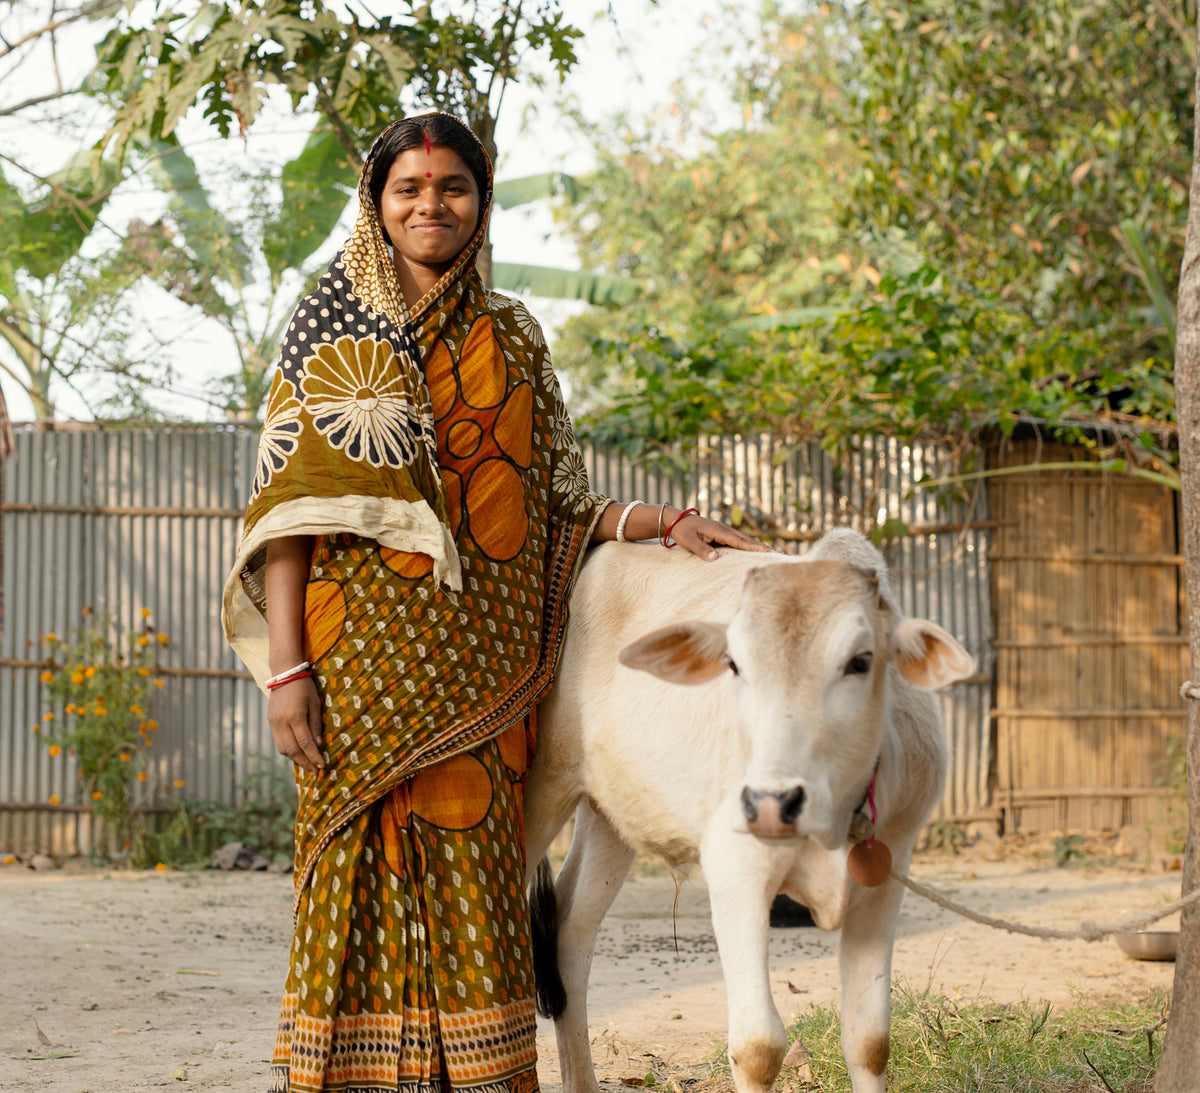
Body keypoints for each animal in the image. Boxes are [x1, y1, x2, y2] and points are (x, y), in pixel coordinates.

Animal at [523, 528, 975, 1093]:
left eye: (860, 660)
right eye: (735, 664)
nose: (771, 802)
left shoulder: (887, 870)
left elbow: (868, 1038)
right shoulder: (736, 867)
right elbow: (759, 1047)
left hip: (610, 817)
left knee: (569, 933)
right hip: (541, 788)